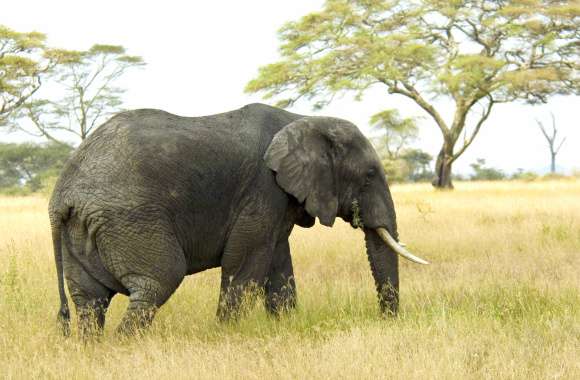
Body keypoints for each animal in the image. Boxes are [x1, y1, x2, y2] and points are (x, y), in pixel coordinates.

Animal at [49, 102, 428, 336]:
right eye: (369, 175)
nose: (386, 320)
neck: (304, 119)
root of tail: (62, 193)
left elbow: (277, 263)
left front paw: (284, 327)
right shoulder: (263, 188)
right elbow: (245, 262)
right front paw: (227, 333)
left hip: (83, 229)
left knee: (90, 300)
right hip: (129, 218)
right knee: (157, 281)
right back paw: (126, 344)